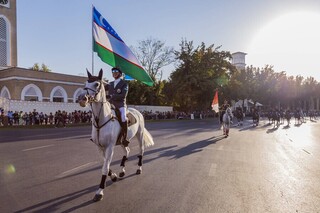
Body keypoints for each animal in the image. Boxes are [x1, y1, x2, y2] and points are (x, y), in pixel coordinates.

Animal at [77, 69, 154, 202]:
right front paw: (113, 176)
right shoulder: (100, 147)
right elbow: (105, 165)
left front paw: (99, 192)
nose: (82, 98)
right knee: (127, 150)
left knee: (141, 151)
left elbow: (105, 167)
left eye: (96, 84)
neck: (101, 120)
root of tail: (137, 111)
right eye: (85, 83)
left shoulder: (110, 147)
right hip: (123, 141)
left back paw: (139, 169)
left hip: (139, 135)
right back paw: (122, 171)